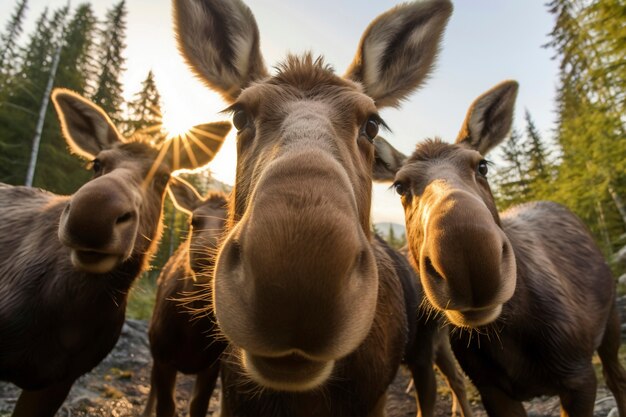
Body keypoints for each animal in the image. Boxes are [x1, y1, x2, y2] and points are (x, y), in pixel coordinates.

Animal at [143, 176, 228, 416]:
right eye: (194, 220)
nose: (205, 253)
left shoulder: (212, 363)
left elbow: (198, 405)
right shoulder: (162, 354)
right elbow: (165, 406)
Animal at [372, 79, 620, 414]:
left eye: (482, 166)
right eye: (400, 186)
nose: (467, 260)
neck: (506, 337)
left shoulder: (579, 377)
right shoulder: (492, 390)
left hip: (610, 324)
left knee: (616, 378)